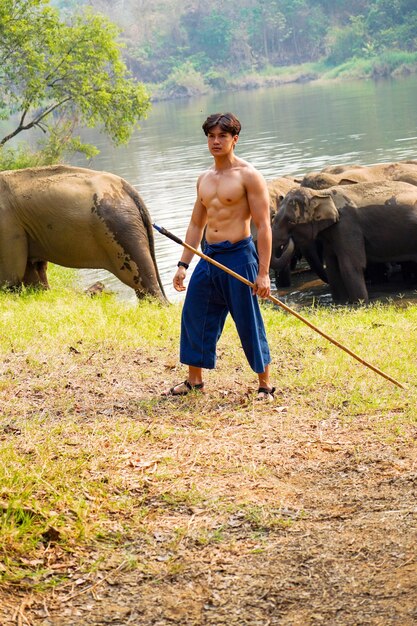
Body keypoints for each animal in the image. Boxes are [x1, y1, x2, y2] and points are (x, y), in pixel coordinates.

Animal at [0, 165, 166, 302]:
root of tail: (127, 188)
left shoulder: (7, 226)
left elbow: (10, 279)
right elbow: (32, 273)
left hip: (122, 229)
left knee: (142, 282)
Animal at [270, 179, 417, 304]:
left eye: (291, 222)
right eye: (274, 217)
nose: (289, 241)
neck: (321, 193)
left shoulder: (347, 226)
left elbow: (350, 266)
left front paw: (360, 304)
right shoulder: (332, 234)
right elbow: (332, 267)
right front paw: (340, 303)